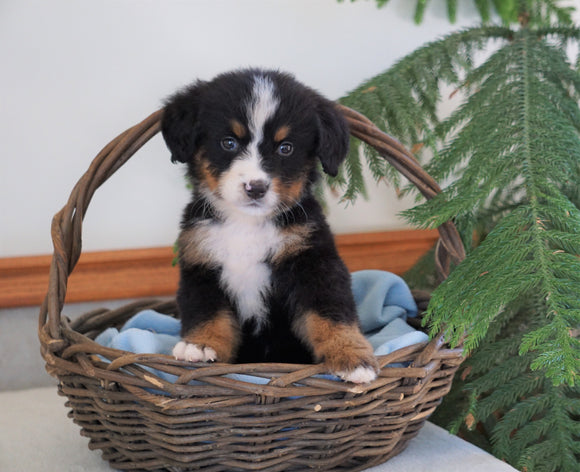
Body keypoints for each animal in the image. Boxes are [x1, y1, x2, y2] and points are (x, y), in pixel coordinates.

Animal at [162, 68, 380, 384]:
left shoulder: (312, 261)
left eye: (285, 148)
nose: (256, 187)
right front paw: (200, 346)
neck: (246, 225)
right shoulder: (201, 267)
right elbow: (207, 313)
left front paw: (352, 356)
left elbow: (331, 312)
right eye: (228, 142)